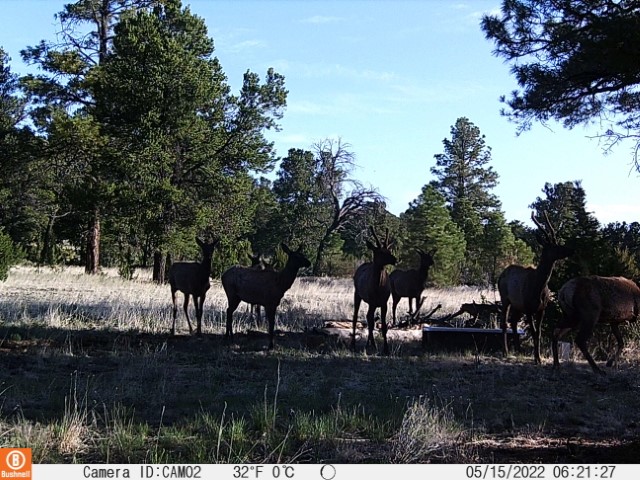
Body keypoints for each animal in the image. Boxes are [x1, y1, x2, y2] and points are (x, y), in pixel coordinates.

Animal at [498, 211, 573, 364]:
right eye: (553, 246)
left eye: (558, 243)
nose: (571, 249)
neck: (539, 287)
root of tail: (500, 275)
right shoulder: (528, 308)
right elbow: (533, 332)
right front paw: (536, 358)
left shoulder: (541, 309)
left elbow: (538, 333)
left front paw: (538, 357)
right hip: (505, 298)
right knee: (504, 322)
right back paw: (505, 351)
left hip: (517, 304)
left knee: (513, 321)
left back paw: (518, 349)